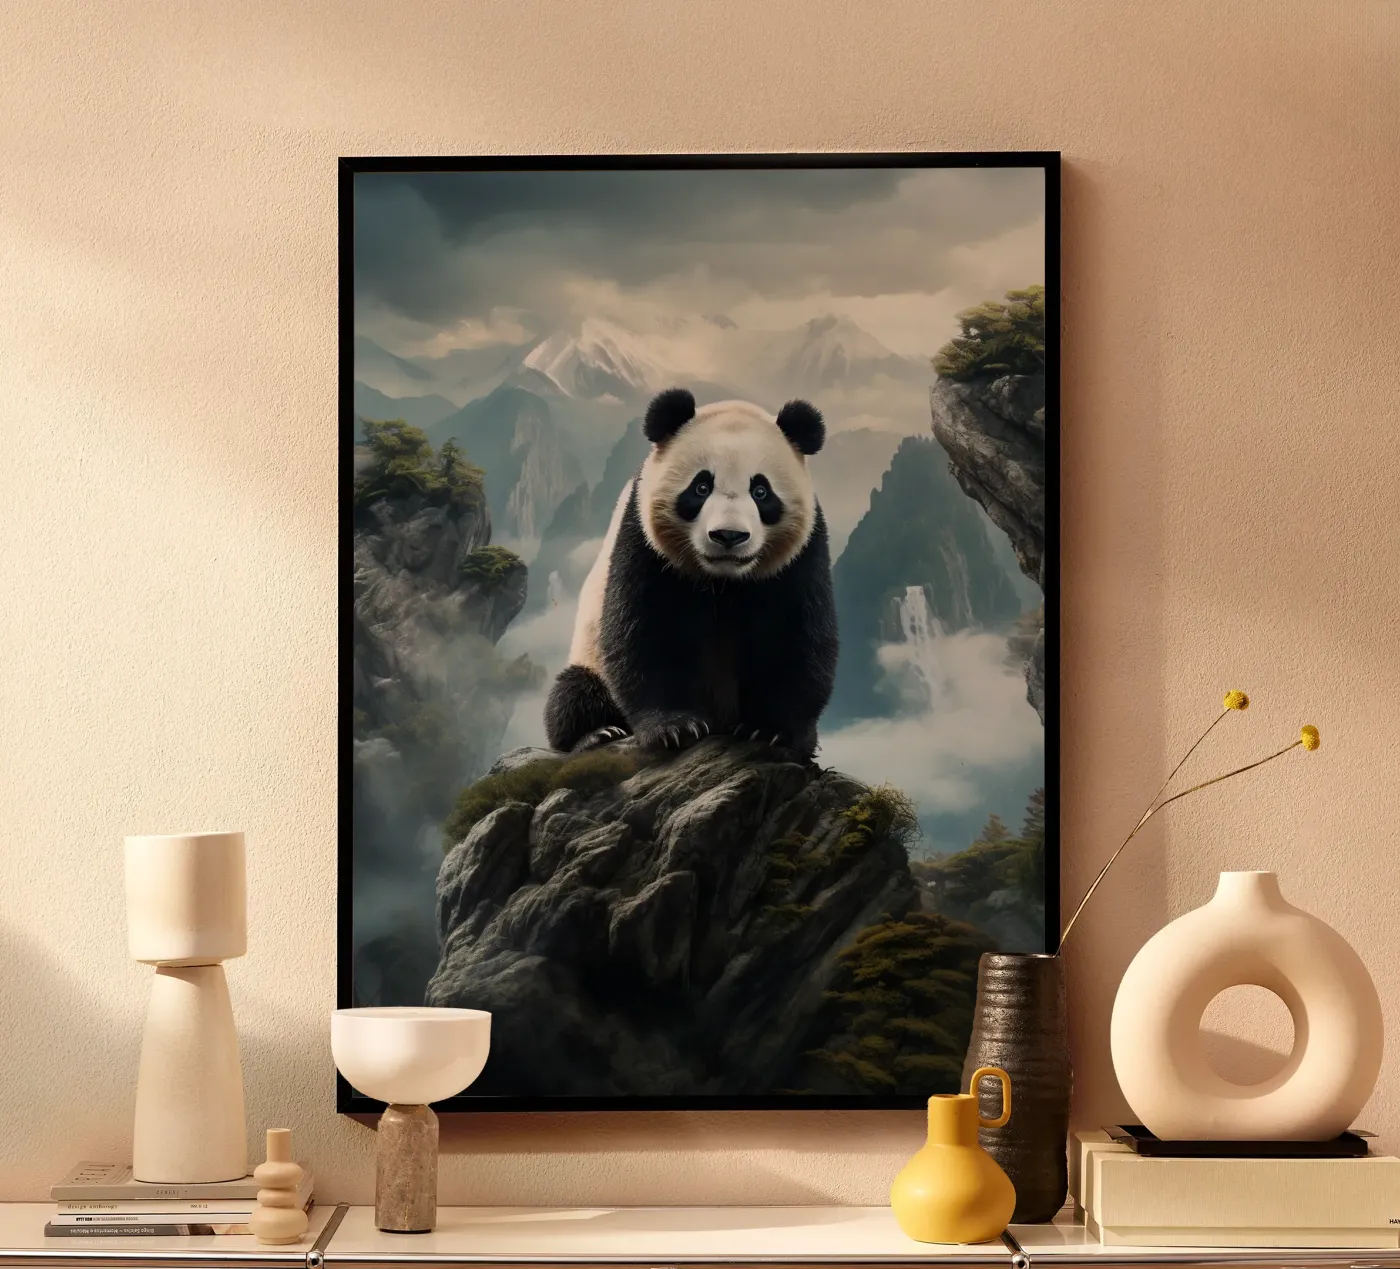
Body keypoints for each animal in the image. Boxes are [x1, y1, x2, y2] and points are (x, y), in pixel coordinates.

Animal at [543, 387, 839, 760]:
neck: (722, 581)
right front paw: (675, 727)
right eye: (701, 488)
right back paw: (596, 733)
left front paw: (770, 730)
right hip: (589, 657)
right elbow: (643, 628)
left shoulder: (802, 554)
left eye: (761, 492)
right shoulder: (643, 540)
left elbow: (797, 634)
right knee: (574, 692)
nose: (728, 536)